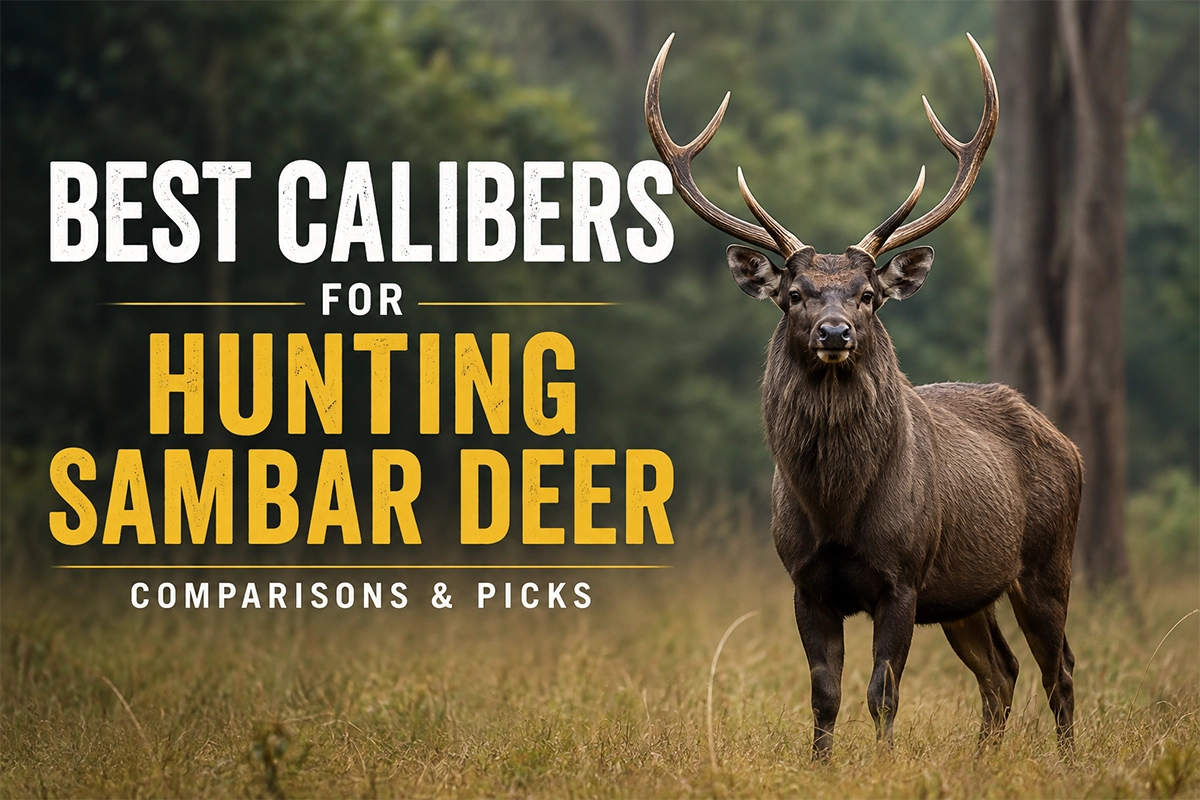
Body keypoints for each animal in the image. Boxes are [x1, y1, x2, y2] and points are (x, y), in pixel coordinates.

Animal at [645, 33, 1081, 758]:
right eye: (794, 294)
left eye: (869, 295)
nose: (835, 331)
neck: (836, 506)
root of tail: (1069, 445)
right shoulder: (804, 580)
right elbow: (825, 692)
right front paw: (821, 765)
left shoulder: (902, 577)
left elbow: (884, 692)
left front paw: (882, 764)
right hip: (966, 592)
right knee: (1002, 670)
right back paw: (984, 761)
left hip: (1048, 560)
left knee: (1060, 667)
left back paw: (1068, 762)